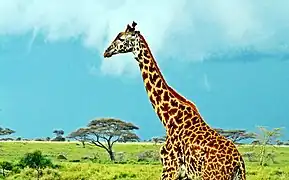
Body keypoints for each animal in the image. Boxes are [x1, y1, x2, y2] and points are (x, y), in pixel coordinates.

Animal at [102, 21, 244, 179]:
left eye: (121, 38)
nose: (106, 51)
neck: (168, 119)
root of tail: (239, 162)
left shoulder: (170, 168)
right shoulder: (183, 174)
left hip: (212, 176)